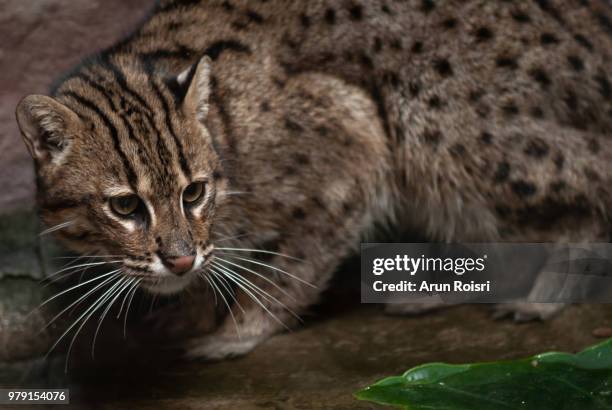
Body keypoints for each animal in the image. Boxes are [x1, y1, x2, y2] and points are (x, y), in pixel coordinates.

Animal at [13, 0, 612, 358]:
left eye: (193, 191)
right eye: (125, 207)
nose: (179, 260)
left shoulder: (355, 142)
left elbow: (291, 271)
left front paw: (236, 332)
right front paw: (190, 308)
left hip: (441, 125)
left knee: (589, 185)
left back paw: (543, 295)